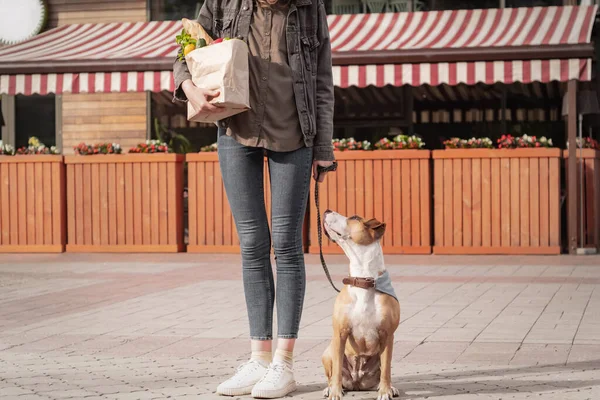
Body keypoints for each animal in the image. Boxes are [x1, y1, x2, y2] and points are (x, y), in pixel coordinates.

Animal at [322, 211, 400, 398]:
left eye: (355, 218)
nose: (326, 210)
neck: (364, 280)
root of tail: (357, 383)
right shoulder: (340, 333)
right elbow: (336, 371)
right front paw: (335, 392)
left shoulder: (387, 335)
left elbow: (386, 370)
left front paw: (385, 392)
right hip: (327, 352)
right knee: (332, 373)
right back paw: (329, 388)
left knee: (383, 371)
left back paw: (389, 387)